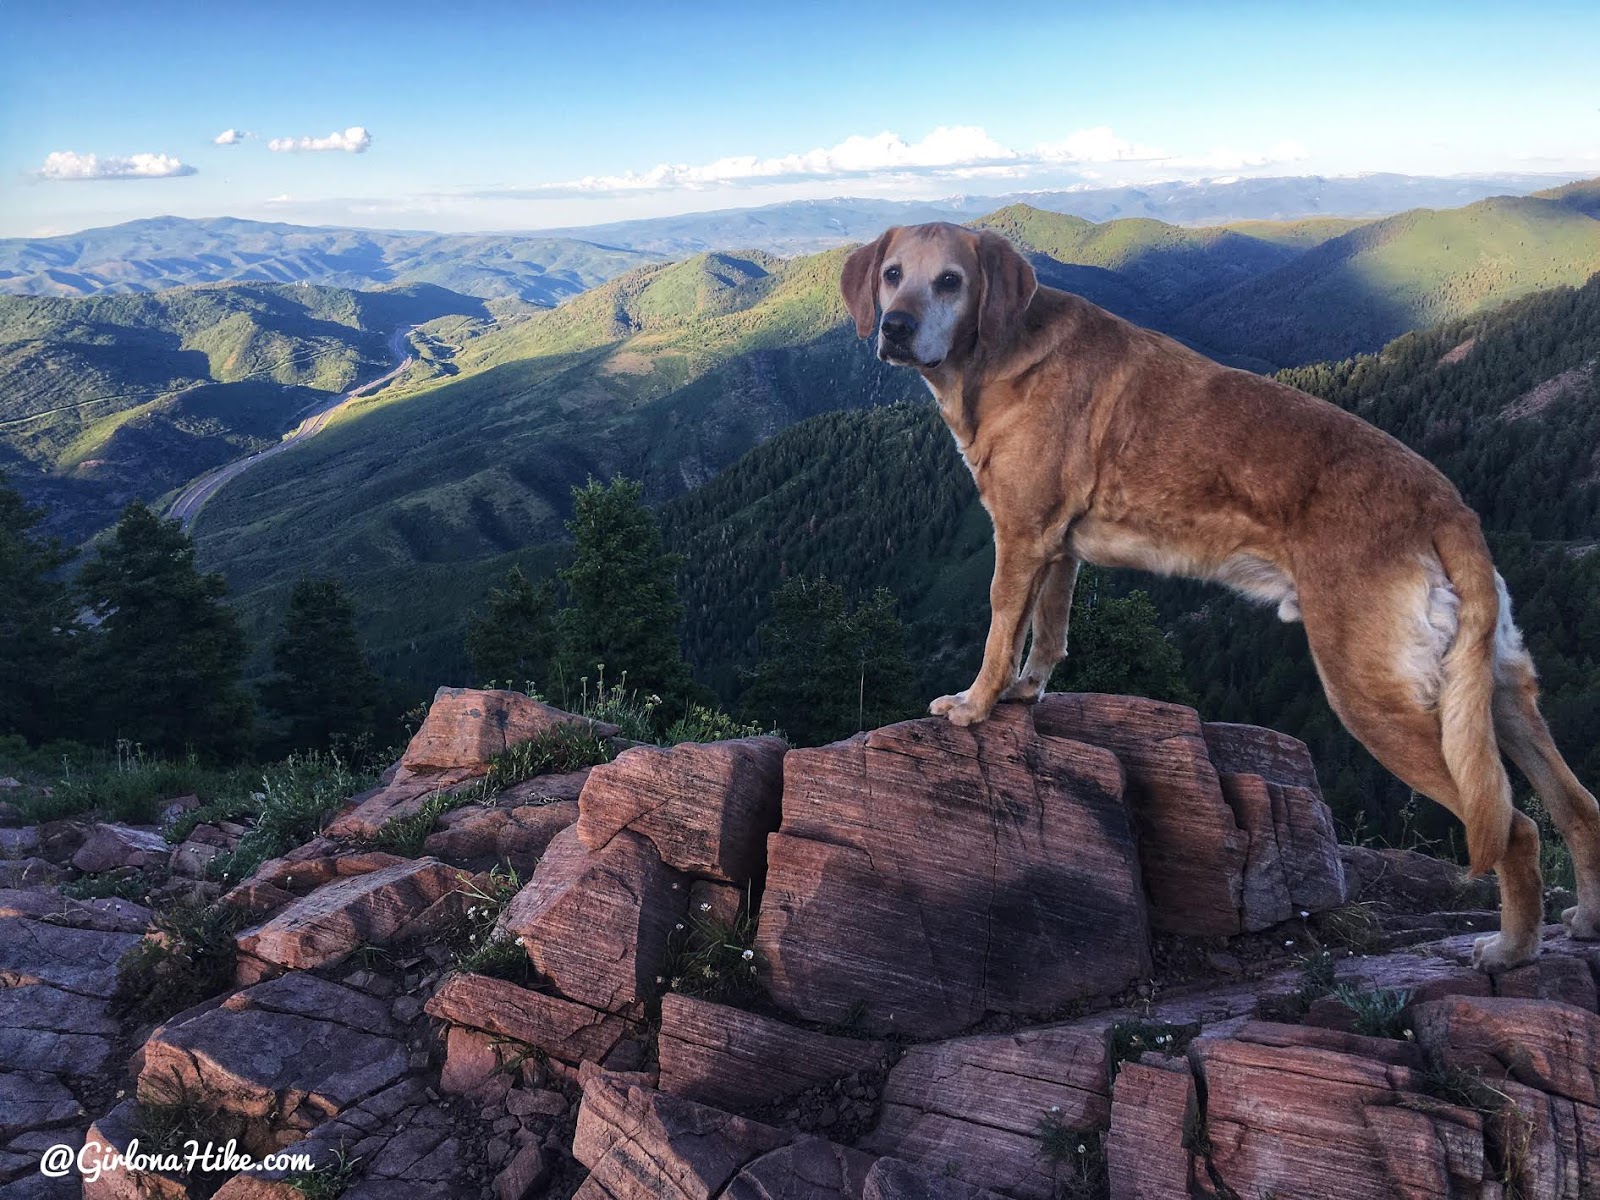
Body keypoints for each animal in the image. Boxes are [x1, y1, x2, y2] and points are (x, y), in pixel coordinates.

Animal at [844, 220, 1593, 972]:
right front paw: (1026, 692)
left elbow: (1002, 627)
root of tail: (1448, 508)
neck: (1000, 353)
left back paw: (1513, 949)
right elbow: (1048, 630)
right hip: (1491, 690)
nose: (895, 328)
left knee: (1515, 827)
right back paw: (1584, 918)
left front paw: (975, 705)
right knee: (1575, 803)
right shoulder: (1057, 548)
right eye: (893, 275)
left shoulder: (1022, 536)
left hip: (1377, 697)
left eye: (951, 281)